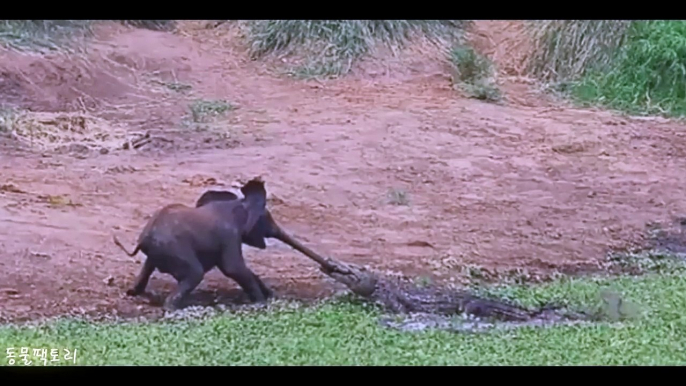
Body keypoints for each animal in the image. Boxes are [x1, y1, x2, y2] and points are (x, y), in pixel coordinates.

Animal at [114, 178, 272, 310]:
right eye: (267, 217)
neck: (238, 203)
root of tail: (143, 239)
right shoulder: (230, 236)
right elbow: (233, 268)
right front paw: (261, 302)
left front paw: (269, 295)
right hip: (174, 249)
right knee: (195, 273)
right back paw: (171, 308)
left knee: (148, 267)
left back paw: (133, 293)